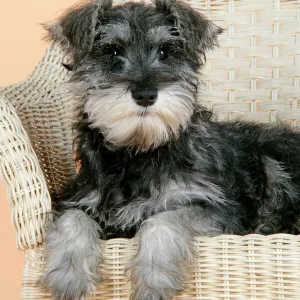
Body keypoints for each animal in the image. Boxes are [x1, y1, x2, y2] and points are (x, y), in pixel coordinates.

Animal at [39, 0, 300, 300]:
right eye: (111, 51)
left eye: (166, 51)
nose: (145, 94)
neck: (139, 150)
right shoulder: (78, 198)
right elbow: (73, 219)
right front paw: (68, 276)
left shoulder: (215, 209)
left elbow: (162, 220)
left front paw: (154, 280)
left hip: (274, 153)